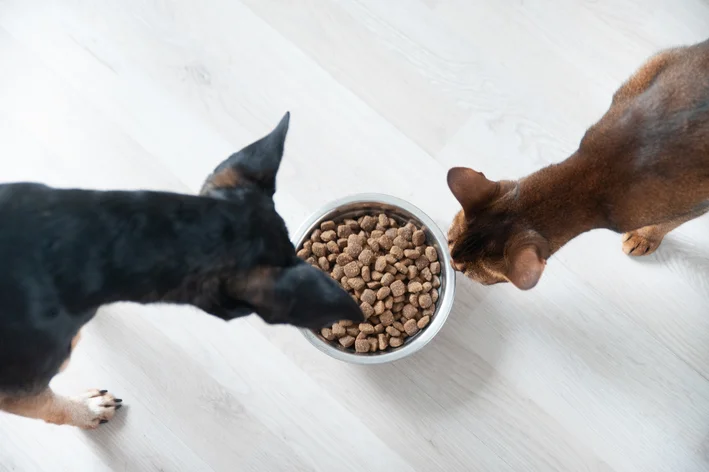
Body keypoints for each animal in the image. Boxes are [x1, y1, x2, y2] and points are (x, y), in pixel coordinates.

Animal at [446, 39, 708, 292]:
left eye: (465, 271)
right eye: (448, 241)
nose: (450, 261)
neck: (592, 176)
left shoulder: (695, 203)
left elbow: (669, 223)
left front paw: (644, 238)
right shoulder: (655, 68)